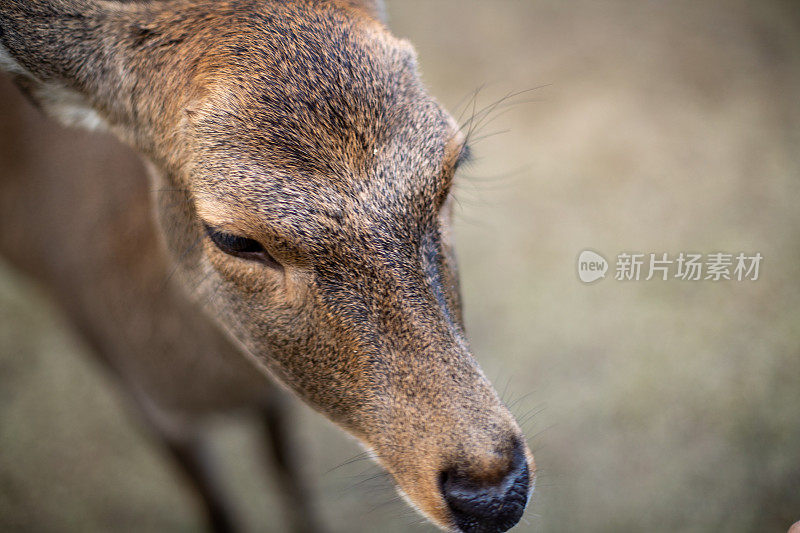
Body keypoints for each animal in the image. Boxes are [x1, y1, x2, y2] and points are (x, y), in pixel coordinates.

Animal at [0, 1, 536, 532]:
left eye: (455, 162)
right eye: (234, 238)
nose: (493, 493)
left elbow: (290, 476)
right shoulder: (148, 398)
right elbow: (216, 508)